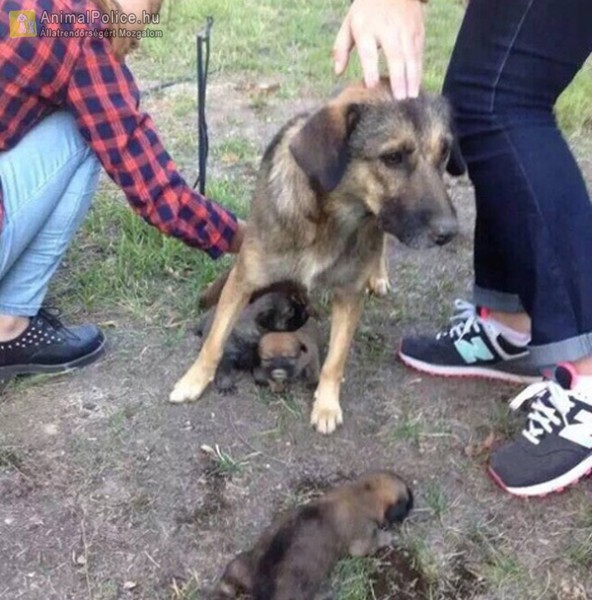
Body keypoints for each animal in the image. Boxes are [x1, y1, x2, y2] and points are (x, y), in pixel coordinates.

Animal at [169, 81, 464, 436]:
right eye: (392, 157)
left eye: (444, 153)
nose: (450, 231)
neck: (331, 220)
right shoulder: (243, 279)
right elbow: (215, 340)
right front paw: (193, 380)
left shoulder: (348, 295)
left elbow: (335, 360)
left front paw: (326, 405)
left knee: (379, 245)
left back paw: (377, 274)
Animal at [212, 474, 412, 600]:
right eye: (407, 503)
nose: (413, 504)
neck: (361, 494)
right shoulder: (362, 532)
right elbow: (363, 547)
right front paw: (387, 537)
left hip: (242, 563)